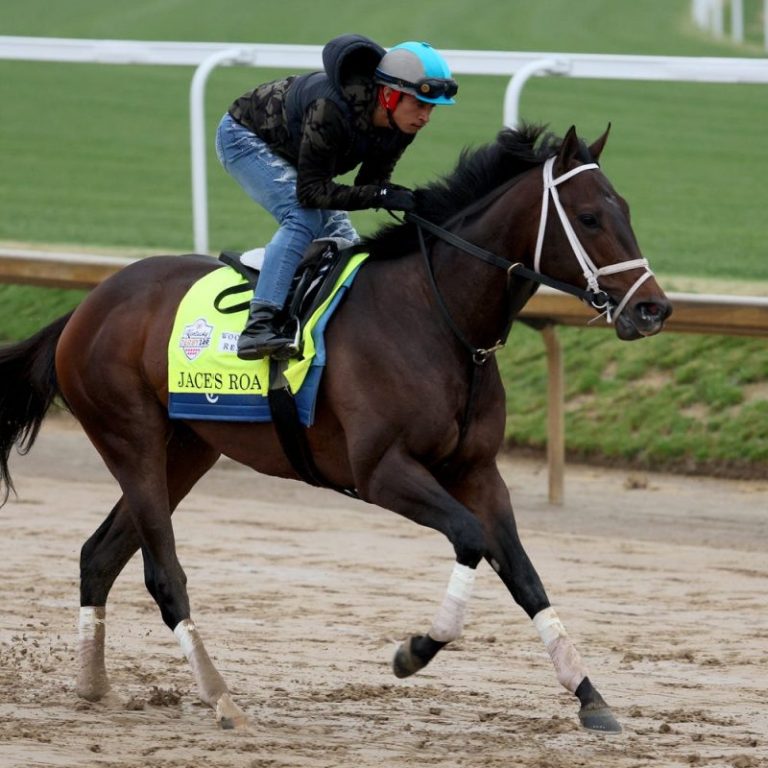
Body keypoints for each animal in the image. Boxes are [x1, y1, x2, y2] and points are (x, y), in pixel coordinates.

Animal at [0, 124, 671, 733]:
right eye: (589, 216)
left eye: (626, 209)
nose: (653, 308)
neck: (436, 319)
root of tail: (87, 306)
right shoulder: (382, 472)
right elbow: (470, 538)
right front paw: (414, 651)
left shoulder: (478, 471)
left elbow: (525, 574)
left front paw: (589, 695)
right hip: (131, 438)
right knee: (162, 573)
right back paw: (221, 698)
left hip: (186, 449)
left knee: (99, 554)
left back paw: (93, 686)